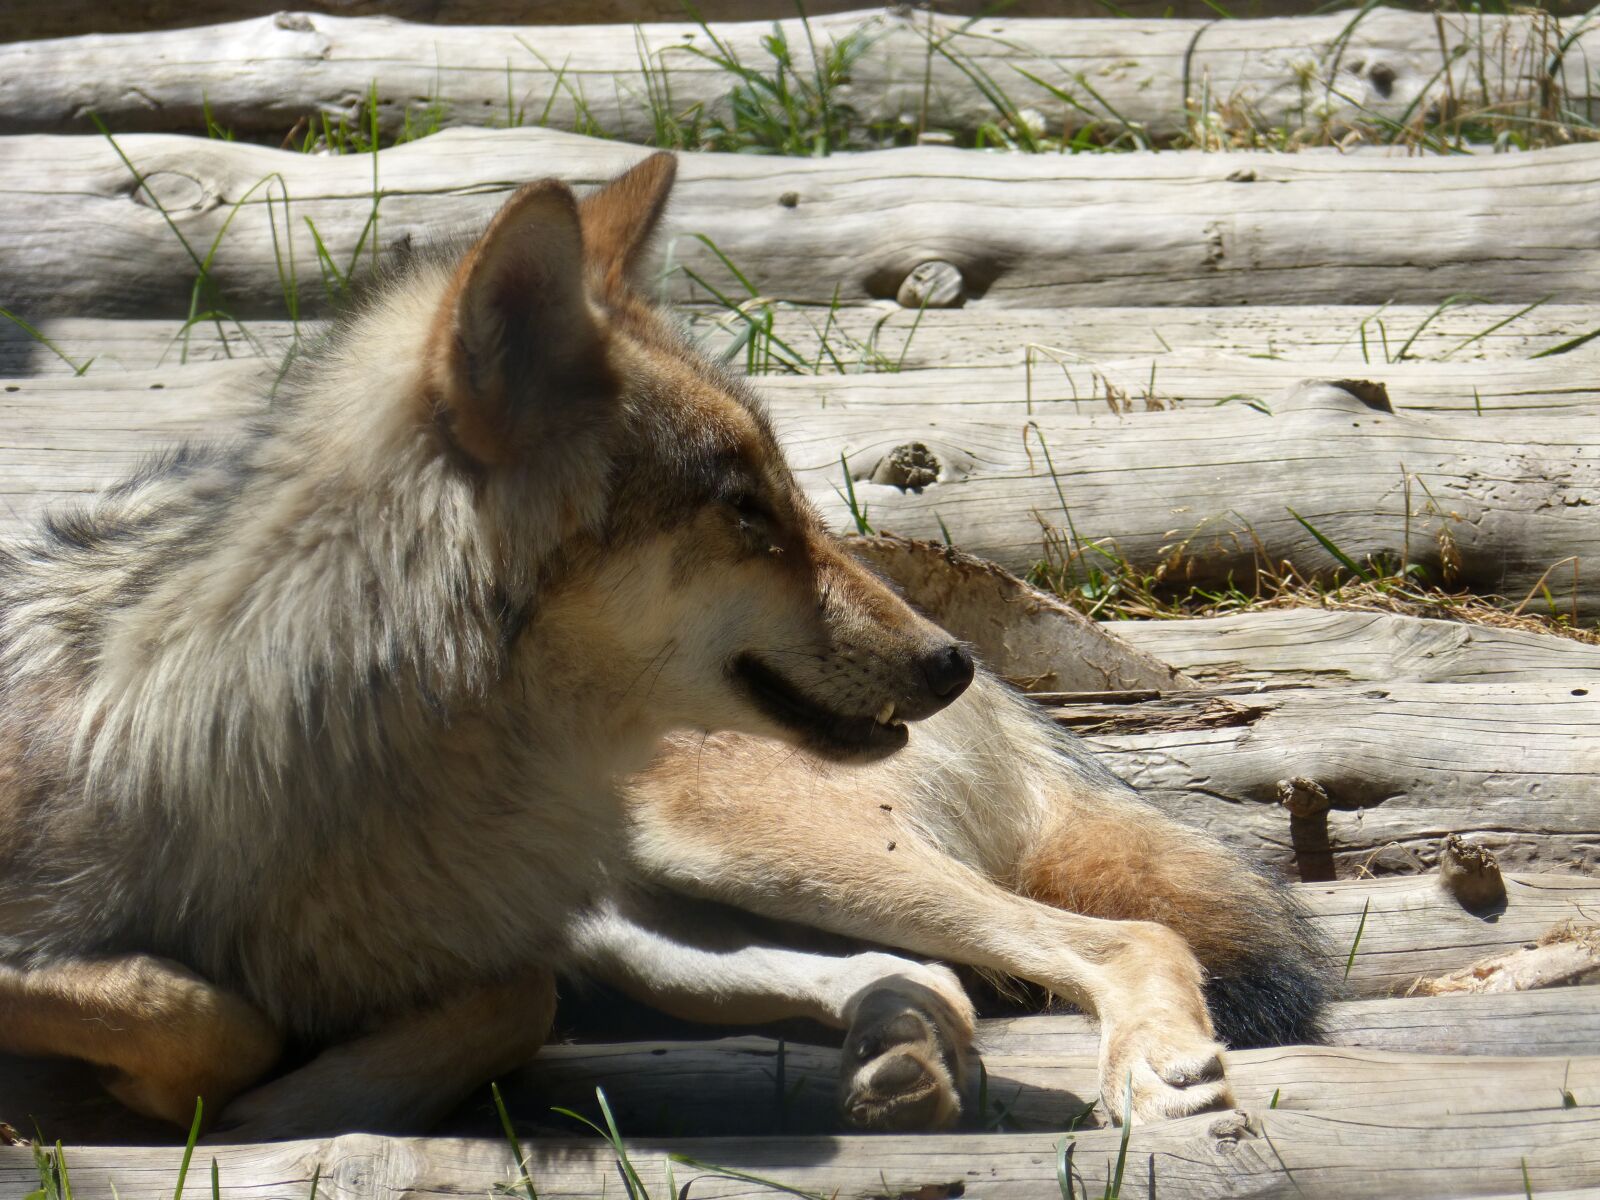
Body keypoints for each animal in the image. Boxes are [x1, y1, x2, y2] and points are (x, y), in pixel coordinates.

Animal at [0, 155, 1324, 1139]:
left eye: (791, 496)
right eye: (746, 511)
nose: (946, 663)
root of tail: (1017, 697)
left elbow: (319, 1011)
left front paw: (267, 1101)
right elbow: (193, 1002)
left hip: (735, 848)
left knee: (1113, 937)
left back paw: (1128, 1069)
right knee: (903, 975)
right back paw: (904, 1051)